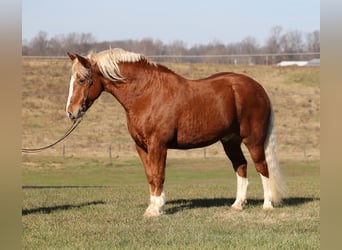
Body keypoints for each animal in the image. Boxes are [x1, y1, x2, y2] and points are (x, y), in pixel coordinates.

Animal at [66, 48, 286, 217]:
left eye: (82, 80)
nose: (71, 112)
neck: (146, 94)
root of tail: (258, 88)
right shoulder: (141, 147)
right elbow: (150, 176)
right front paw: (153, 206)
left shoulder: (158, 145)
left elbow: (158, 175)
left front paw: (156, 209)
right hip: (230, 141)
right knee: (241, 166)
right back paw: (238, 205)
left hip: (253, 140)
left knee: (262, 167)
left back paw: (267, 205)